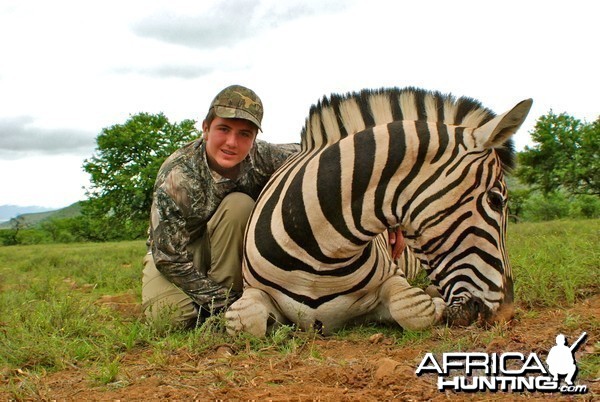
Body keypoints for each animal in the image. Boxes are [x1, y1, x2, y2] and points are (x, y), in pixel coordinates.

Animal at [224, 87, 528, 336]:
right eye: (496, 200)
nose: (506, 315)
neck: (320, 252)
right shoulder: (254, 291)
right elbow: (246, 321)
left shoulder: (394, 278)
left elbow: (413, 309)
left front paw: (435, 304)